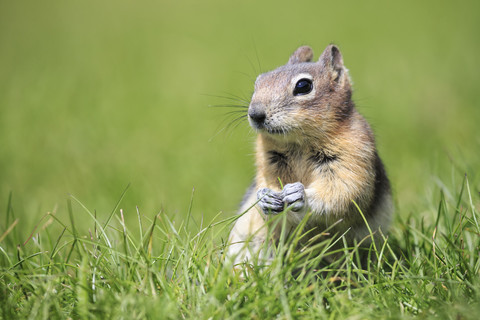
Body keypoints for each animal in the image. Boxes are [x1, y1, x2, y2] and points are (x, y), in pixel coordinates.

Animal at [229, 44, 394, 264]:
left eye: (303, 86)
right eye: (258, 81)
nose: (255, 114)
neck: (299, 143)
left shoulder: (353, 156)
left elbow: (343, 192)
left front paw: (299, 194)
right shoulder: (269, 161)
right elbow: (266, 183)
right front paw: (265, 197)